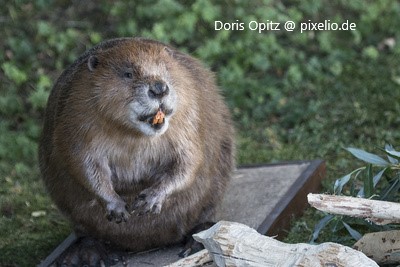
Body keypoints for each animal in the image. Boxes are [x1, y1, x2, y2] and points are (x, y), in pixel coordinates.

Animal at [39, 37, 234, 266]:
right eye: (128, 74)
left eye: (165, 68)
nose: (159, 88)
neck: (135, 134)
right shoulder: (77, 115)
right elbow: (82, 163)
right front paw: (118, 208)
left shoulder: (189, 113)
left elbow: (190, 160)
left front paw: (148, 200)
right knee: (86, 234)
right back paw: (91, 255)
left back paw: (197, 241)